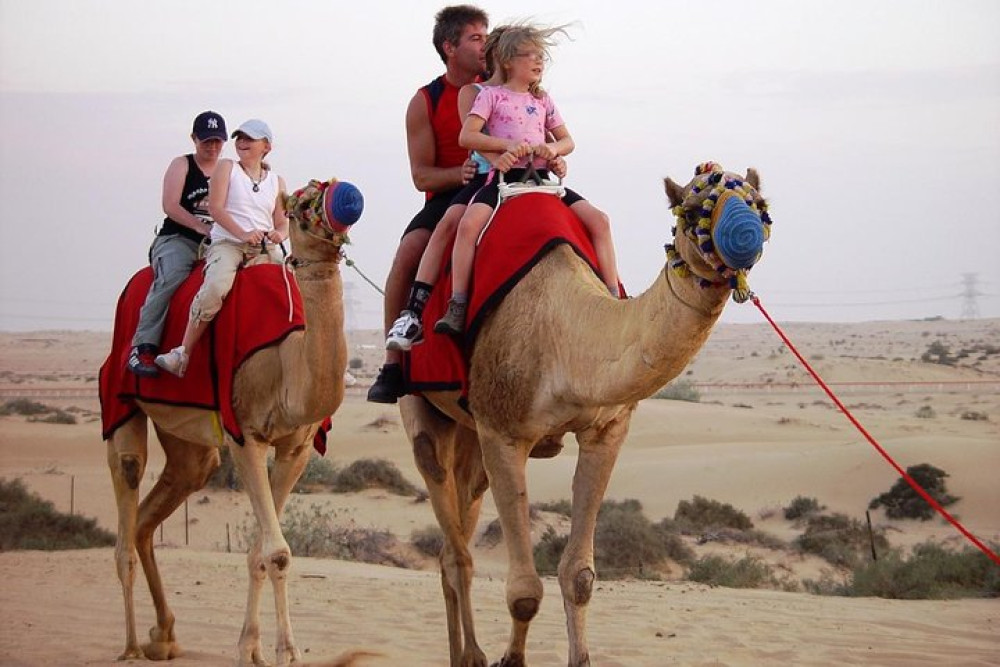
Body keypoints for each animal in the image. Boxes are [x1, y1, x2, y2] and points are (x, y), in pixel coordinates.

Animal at [105, 178, 358, 665]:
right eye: (301, 203)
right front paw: (286, 652)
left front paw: (253, 648)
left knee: (157, 508)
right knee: (127, 500)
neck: (286, 361)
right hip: (120, 400)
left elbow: (261, 551)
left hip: (189, 442)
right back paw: (129, 646)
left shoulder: (297, 448)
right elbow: (276, 552)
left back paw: (163, 635)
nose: (347, 199)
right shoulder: (246, 435)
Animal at [400, 163, 771, 666]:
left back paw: (461, 653)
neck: (566, 335)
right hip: (424, 409)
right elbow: (524, 592)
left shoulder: (606, 430)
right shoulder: (503, 432)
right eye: (694, 209)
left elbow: (579, 577)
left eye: (759, 203)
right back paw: (472, 655)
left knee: (452, 536)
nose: (745, 236)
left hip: (468, 434)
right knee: (455, 545)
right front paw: (509, 659)